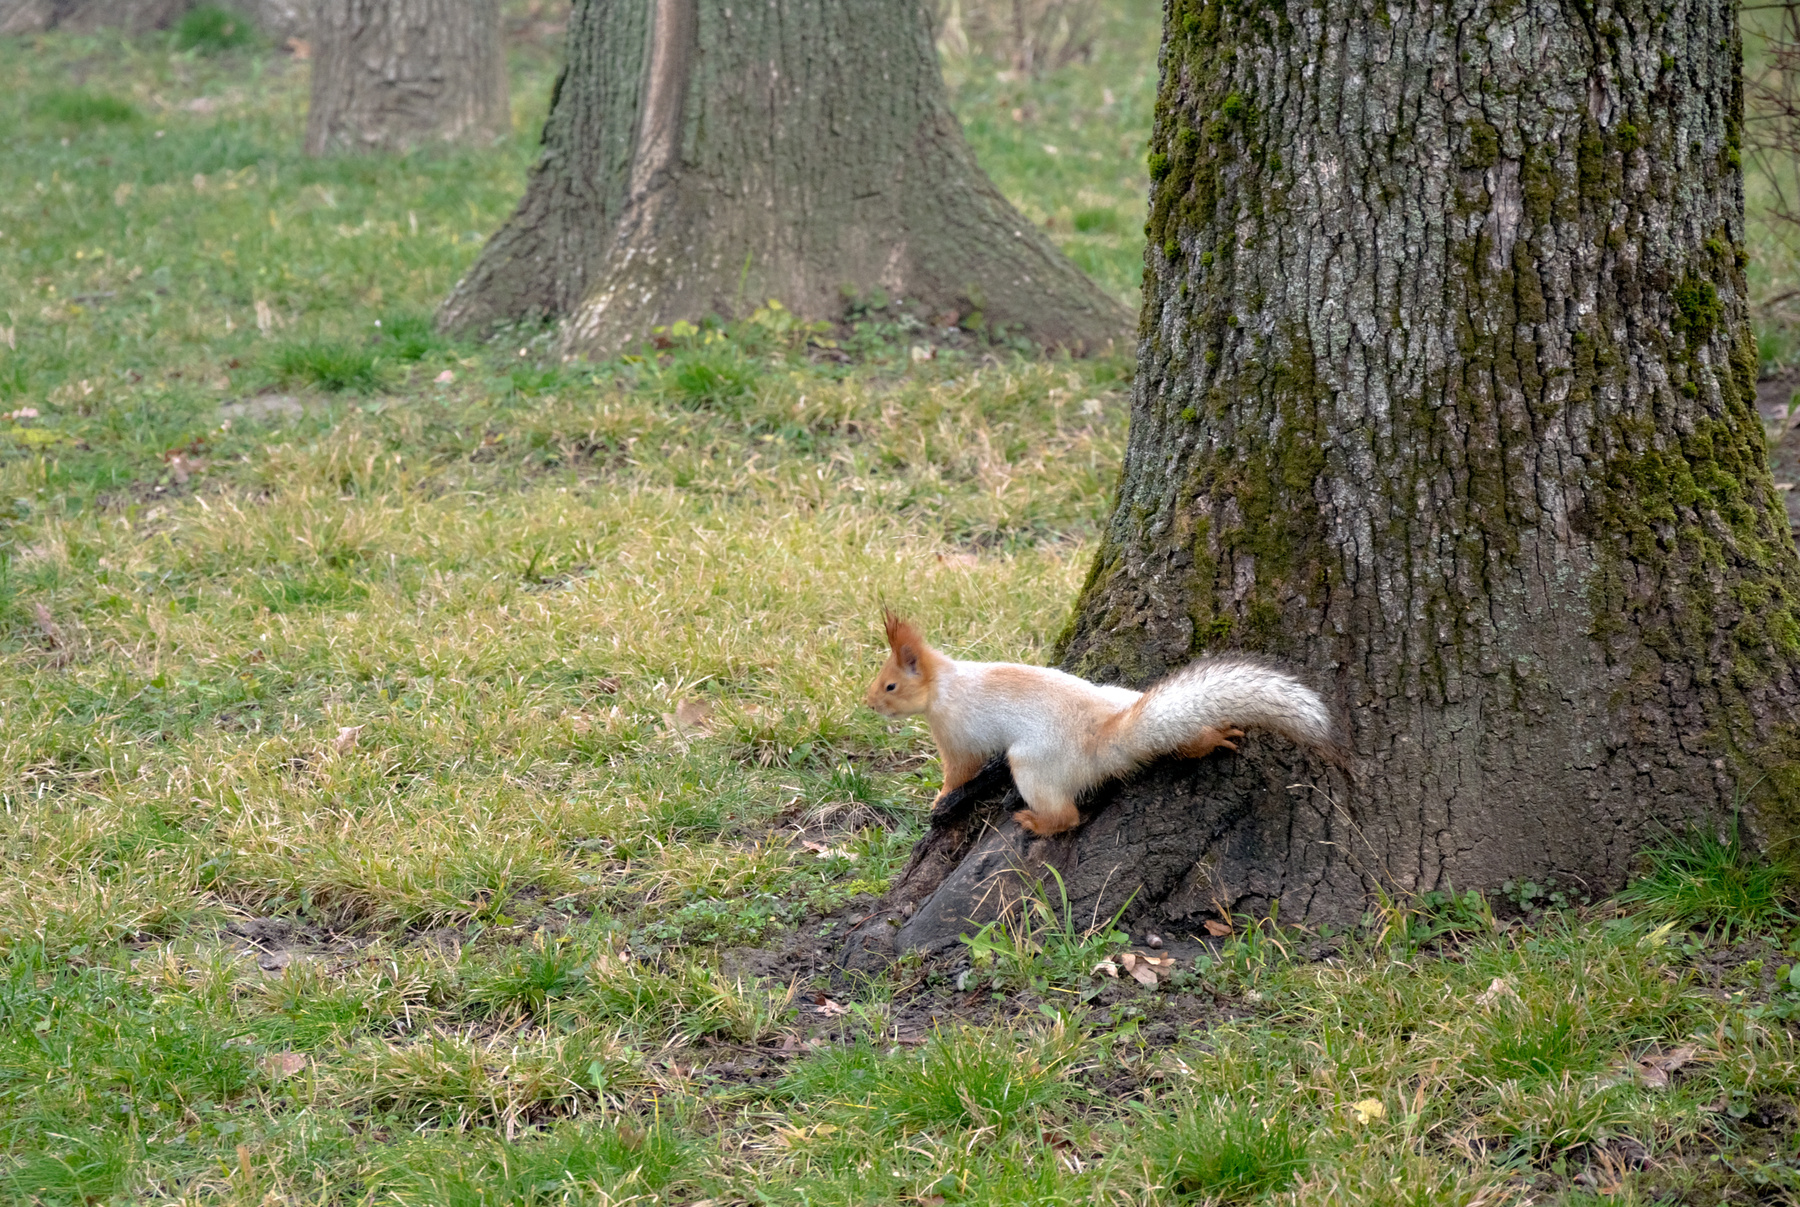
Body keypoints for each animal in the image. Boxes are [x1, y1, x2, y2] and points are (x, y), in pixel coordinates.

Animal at [864, 611, 1344, 837]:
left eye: (890, 685)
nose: (867, 703)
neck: (946, 682)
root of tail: (1104, 736)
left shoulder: (955, 732)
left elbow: (958, 771)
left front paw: (940, 798)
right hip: (1124, 696)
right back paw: (1209, 738)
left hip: (1034, 765)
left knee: (1068, 816)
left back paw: (1037, 822)